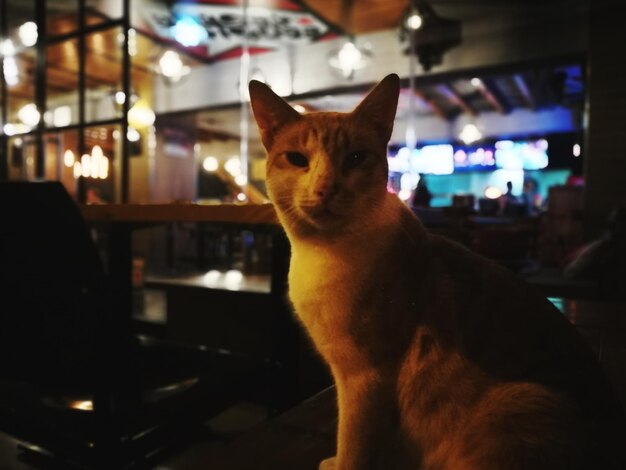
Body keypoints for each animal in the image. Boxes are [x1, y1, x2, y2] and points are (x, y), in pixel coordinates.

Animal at [249, 74, 624, 470]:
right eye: (297, 159)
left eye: (355, 158)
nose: (325, 189)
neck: (322, 253)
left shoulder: (365, 378)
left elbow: (354, 443)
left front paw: (341, 462)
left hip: (518, 402)